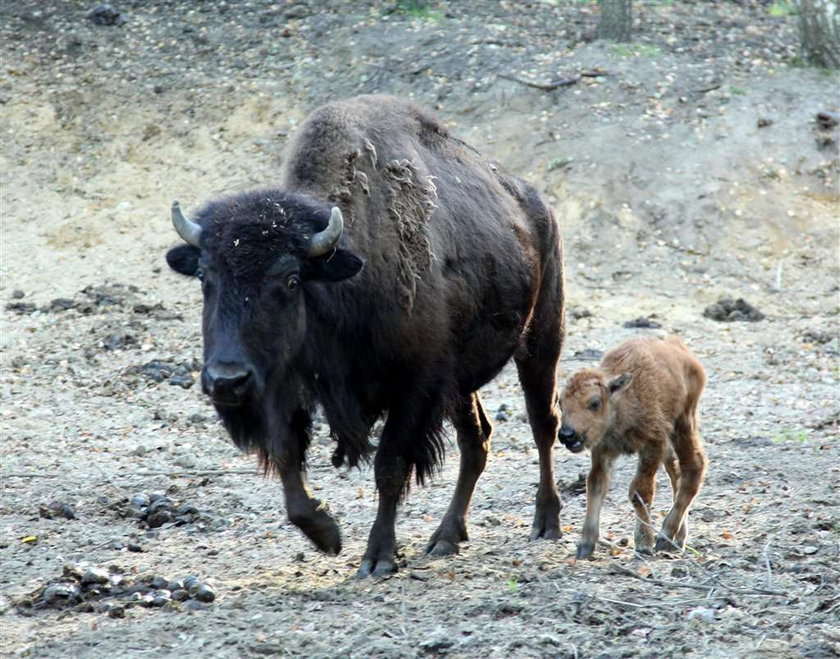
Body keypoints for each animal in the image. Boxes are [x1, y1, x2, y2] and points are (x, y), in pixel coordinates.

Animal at [166, 95, 564, 576]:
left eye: (291, 280)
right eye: (204, 277)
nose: (226, 380)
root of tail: (535, 205)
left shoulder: (414, 387)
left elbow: (389, 465)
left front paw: (378, 557)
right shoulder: (283, 384)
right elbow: (286, 456)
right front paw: (327, 534)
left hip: (541, 341)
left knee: (543, 423)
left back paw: (546, 522)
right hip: (461, 382)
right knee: (477, 441)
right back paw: (446, 537)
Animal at [560, 338, 704, 560]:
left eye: (594, 403)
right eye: (560, 403)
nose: (567, 434)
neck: (620, 401)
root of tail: (681, 350)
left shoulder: (652, 445)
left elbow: (640, 491)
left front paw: (643, 544)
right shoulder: (603, 451)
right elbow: (595, 485)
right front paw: (585, 544)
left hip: (683, 423)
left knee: (693, 468)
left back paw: (665, 536)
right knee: (676, 474)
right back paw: (678, 539)